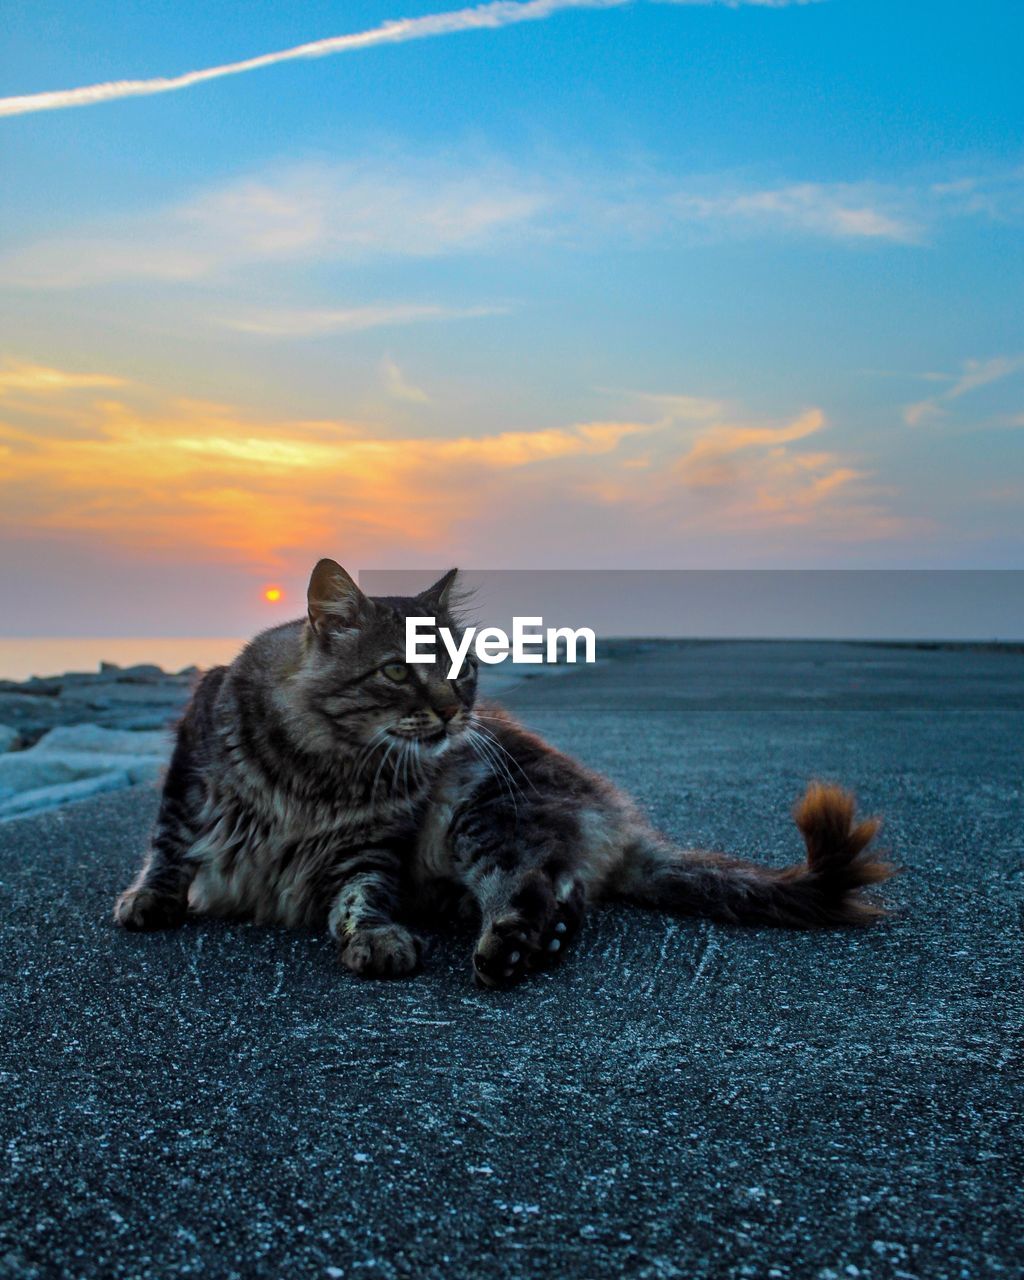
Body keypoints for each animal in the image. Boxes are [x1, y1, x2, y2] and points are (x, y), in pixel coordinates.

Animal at [113, 560, 896, 988]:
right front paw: (149, 899)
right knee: (566, 898)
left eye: (462, 667)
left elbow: (362, 897)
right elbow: (169, 846)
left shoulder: (373, 844)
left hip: (482, 815)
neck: (327, 766)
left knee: (533, 885)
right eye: (398, 671)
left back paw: (511, 946)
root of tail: (618, 815)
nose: (453, 709)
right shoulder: (191, 767)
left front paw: (376, 938)